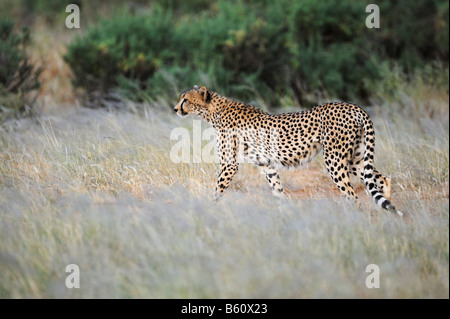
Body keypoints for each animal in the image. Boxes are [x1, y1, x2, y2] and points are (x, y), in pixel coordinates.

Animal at [174, 85, 402, 216]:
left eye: (185, 99)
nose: (175, 108)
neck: (213, 111)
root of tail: (353, 106)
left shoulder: (229, 164)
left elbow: (218, 189)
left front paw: (210, 209)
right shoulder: (267, 164)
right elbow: (277, 190)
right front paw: (283, 214)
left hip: (335, 159)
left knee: (352, 195)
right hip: (356, 157)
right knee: (382, 179)